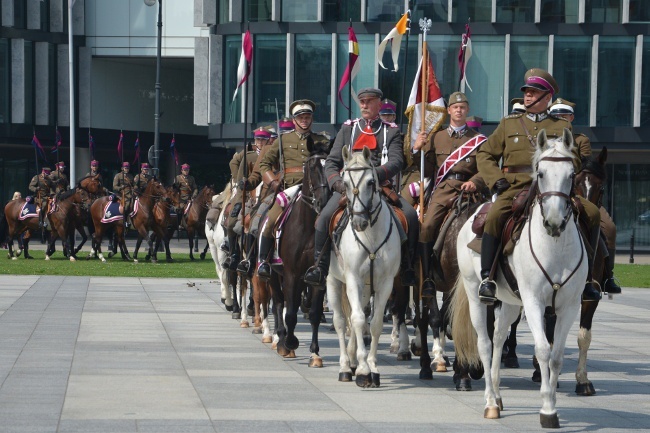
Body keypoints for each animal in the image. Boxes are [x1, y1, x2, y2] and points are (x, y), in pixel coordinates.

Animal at [326, 147, 402, 386]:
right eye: (344, 183)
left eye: (371, 182)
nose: (359, 223)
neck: (370, 234)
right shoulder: (352, 279)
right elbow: (358, 320)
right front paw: (362, 370)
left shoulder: (385, 283)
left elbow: (375, 322)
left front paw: (372, 367)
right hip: (333, 281)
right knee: (341, 321)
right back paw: (344, 366)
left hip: (367, 288)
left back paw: (351, 360)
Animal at [448, 126, 584, 426]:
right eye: (541, 173)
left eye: (571, 174)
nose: (554, 222)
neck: (556, 246)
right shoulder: (534, 302)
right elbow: (542, 350)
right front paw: (547, 409)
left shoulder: (569, 306)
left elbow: (556, 356)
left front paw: (552, 406)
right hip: (477, 296)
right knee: (485, 344)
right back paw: (490, 402)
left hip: (510, 302)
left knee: (499, 337)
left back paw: (498, 397)